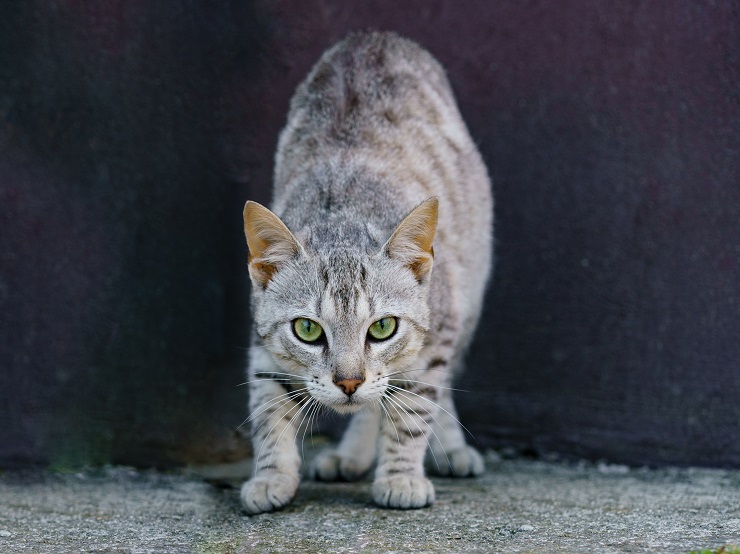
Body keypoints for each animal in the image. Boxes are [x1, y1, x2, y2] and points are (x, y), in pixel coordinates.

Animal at [241, 31, 492, 512]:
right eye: (307, 329)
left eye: (382, 328)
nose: (349, 382)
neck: (345, 212)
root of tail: (375, 37)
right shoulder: (262, 337)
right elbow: (268, 409)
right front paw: (270, 476)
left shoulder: (437, 331)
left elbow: (413, 410)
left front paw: (401, 477)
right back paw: (351, 454)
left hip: (469, 291)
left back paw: (449, 448)